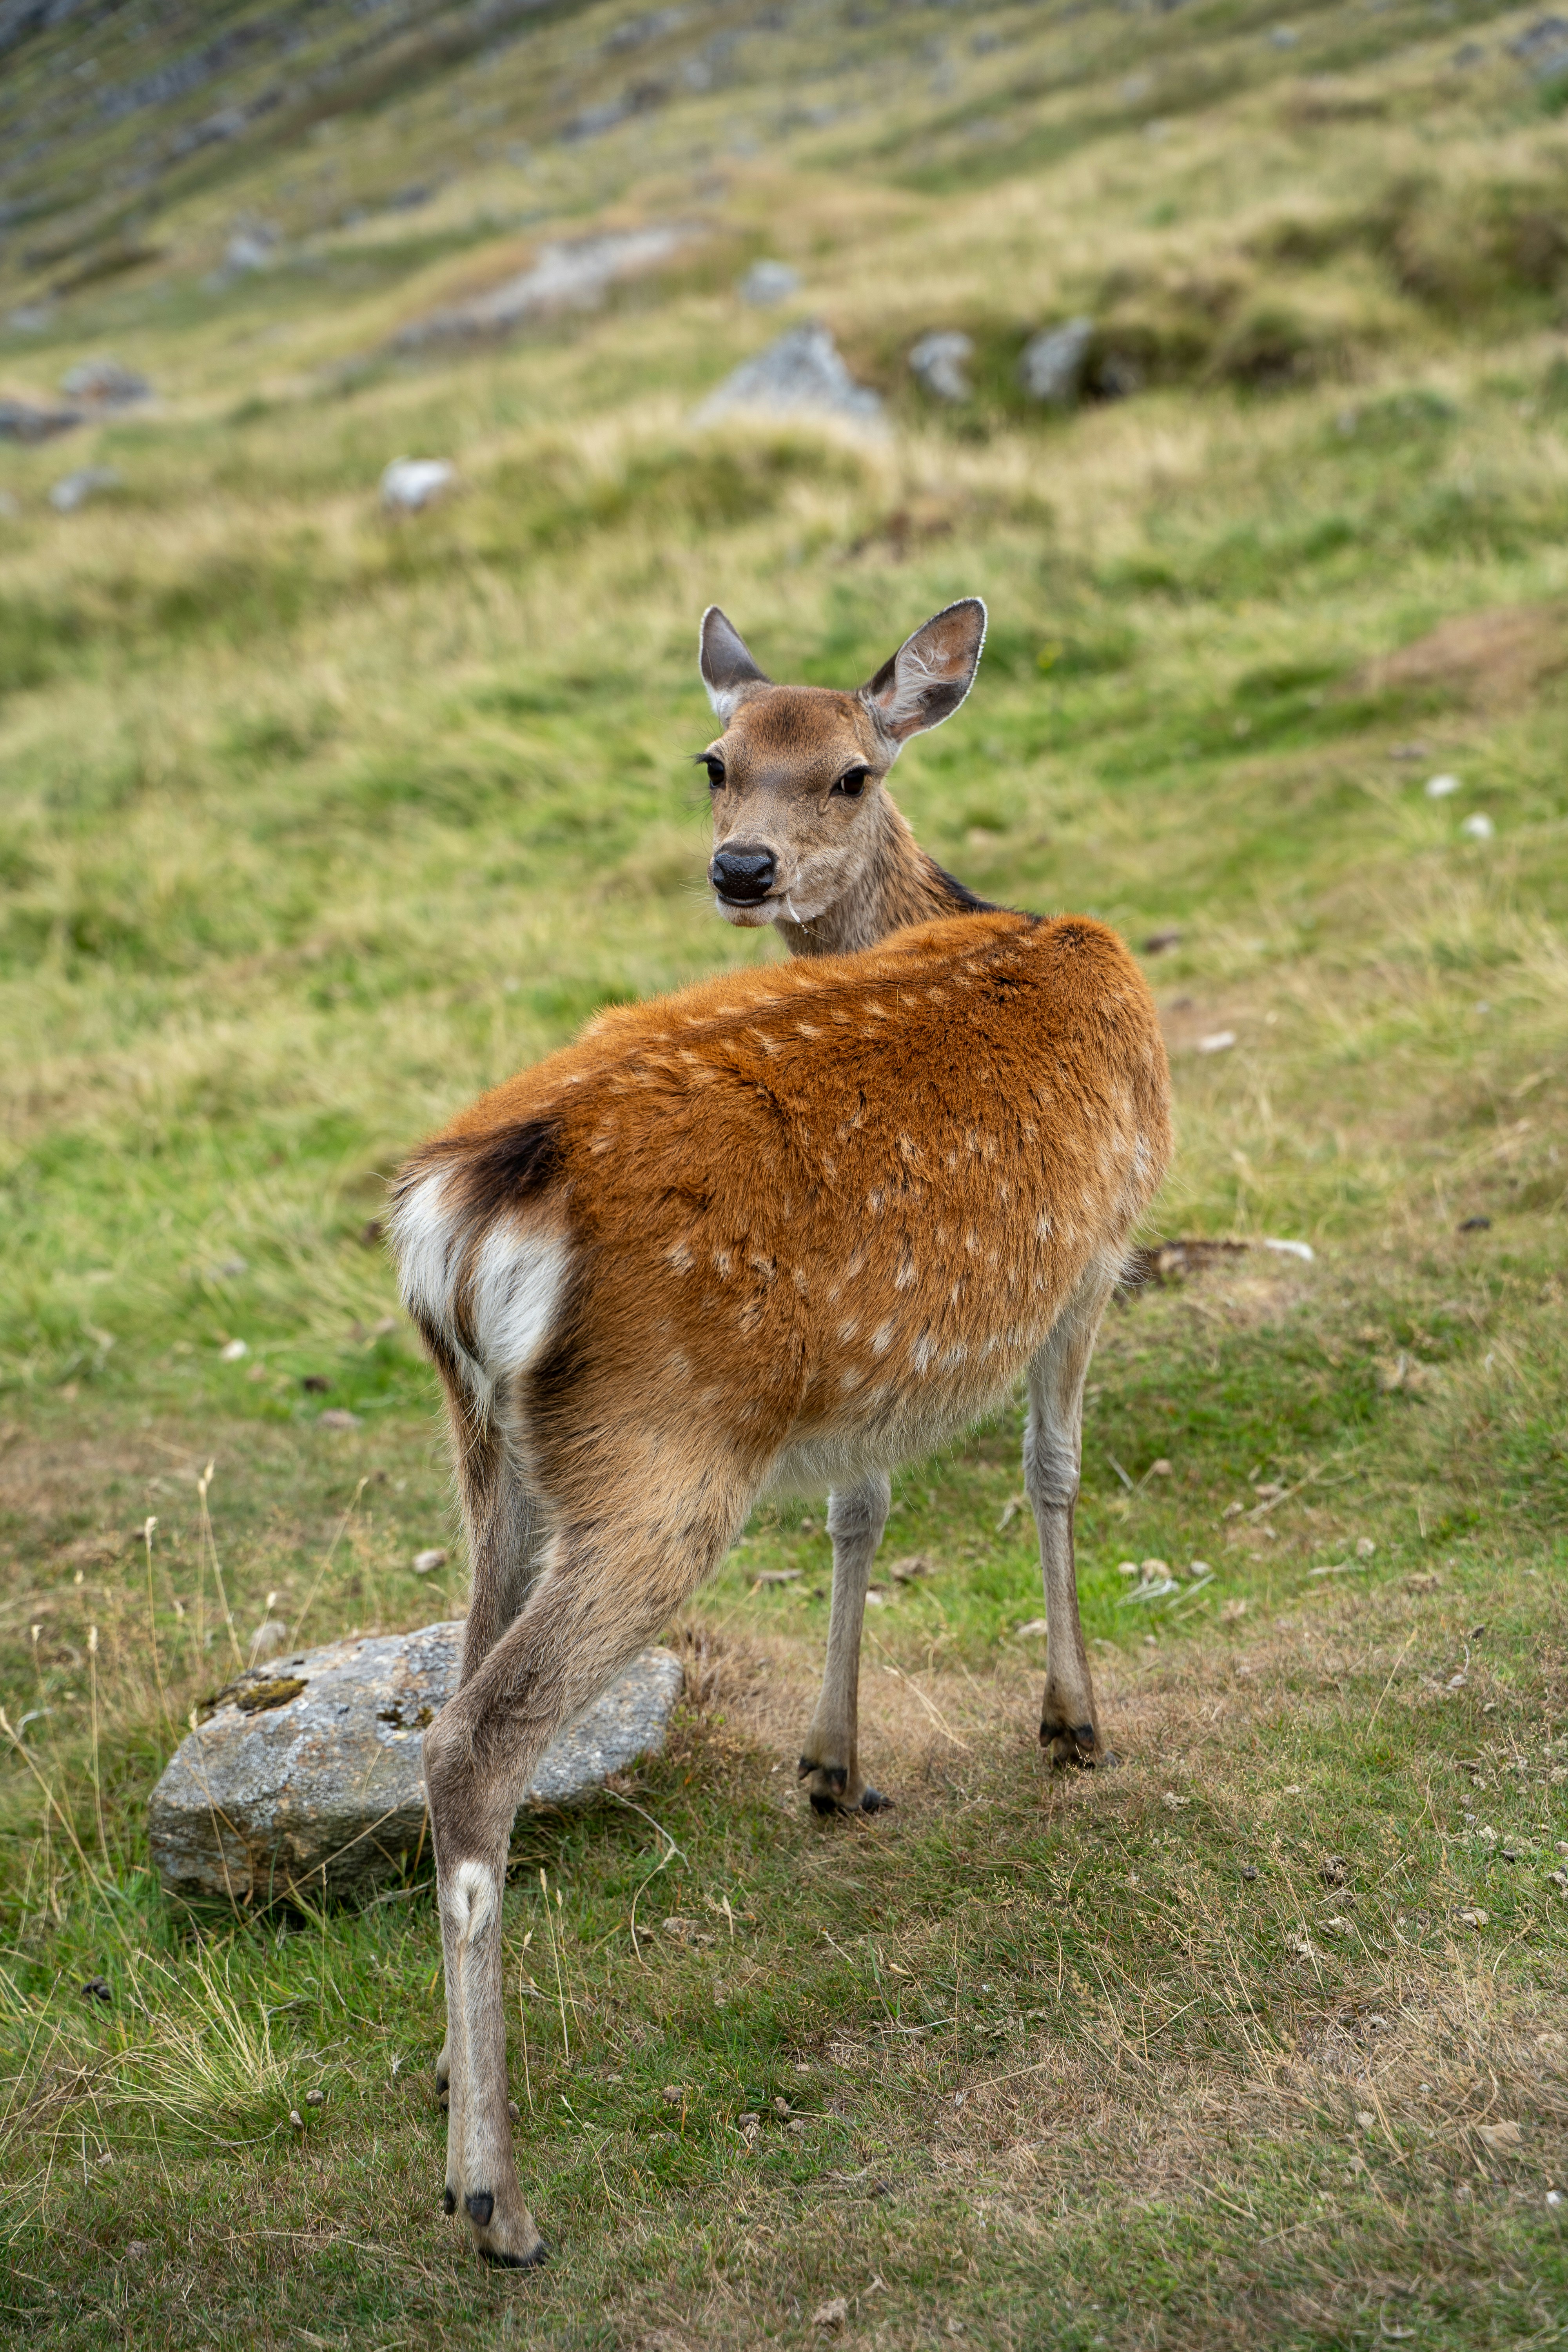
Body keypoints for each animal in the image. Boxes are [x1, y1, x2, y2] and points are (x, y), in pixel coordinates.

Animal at [390, 730, 1172, 2261]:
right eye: (719, 765)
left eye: (845, 772)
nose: (740, 871)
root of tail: (461, 1214)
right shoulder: (1100, 1248)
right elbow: (1053, 1470)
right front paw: (1073, 1723)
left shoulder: (867, 1371)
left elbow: (859, 1514)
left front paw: (836, 1763)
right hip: (663, 1453)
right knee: (478, 1740)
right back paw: (496, 2198)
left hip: (494, 1451)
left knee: (455, 1677)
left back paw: (455, 2075)